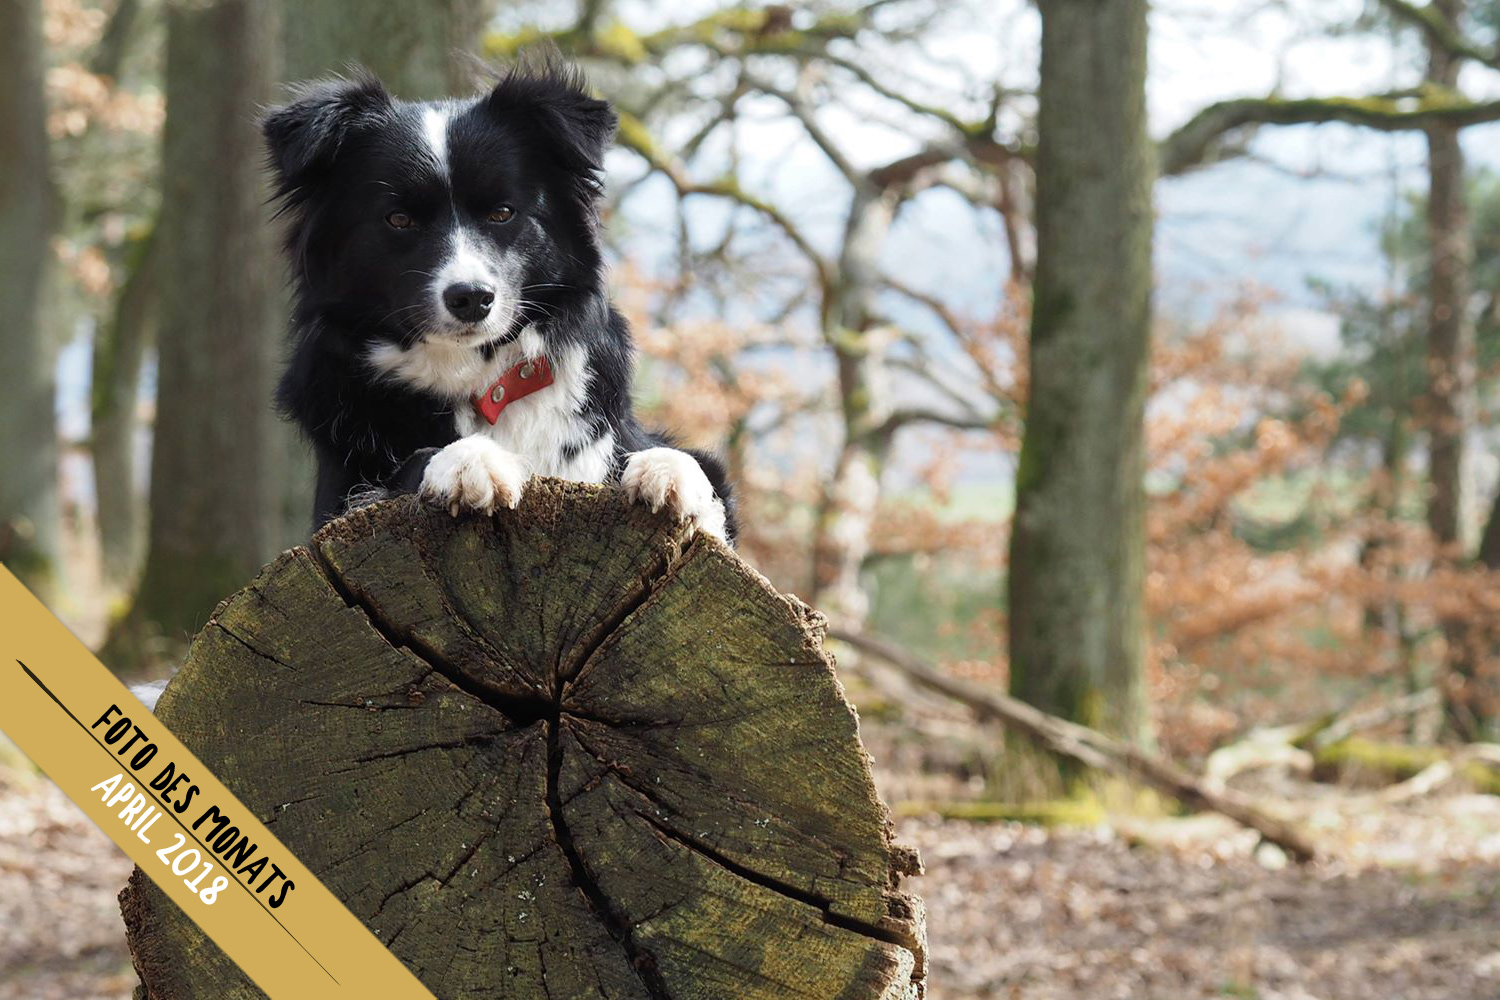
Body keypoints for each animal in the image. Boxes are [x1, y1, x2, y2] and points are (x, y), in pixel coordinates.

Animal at [268, 60, 738, 548]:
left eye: (502, 213)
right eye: (399, 219)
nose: (472, 298)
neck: (480, 375)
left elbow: (689, 469)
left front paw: (670, 473)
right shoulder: (341, 495)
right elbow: (404, 470)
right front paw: (472, 459)